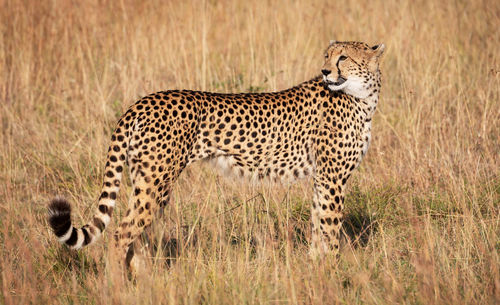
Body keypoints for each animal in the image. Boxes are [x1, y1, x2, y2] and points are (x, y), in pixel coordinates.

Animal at [48, 40, 384, 268]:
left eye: (343, 57)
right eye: (328, 56)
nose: (325, 71)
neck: (361, 97)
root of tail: (142, 101)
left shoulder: (322, 179)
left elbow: (318, 224)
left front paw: (315, 267)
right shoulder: (332, 179)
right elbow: (330, 226)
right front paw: (332, 272)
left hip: (147, 182)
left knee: (137, 236)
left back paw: (144, 283)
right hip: (157, 181)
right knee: (121, 234)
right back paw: (117, 287)